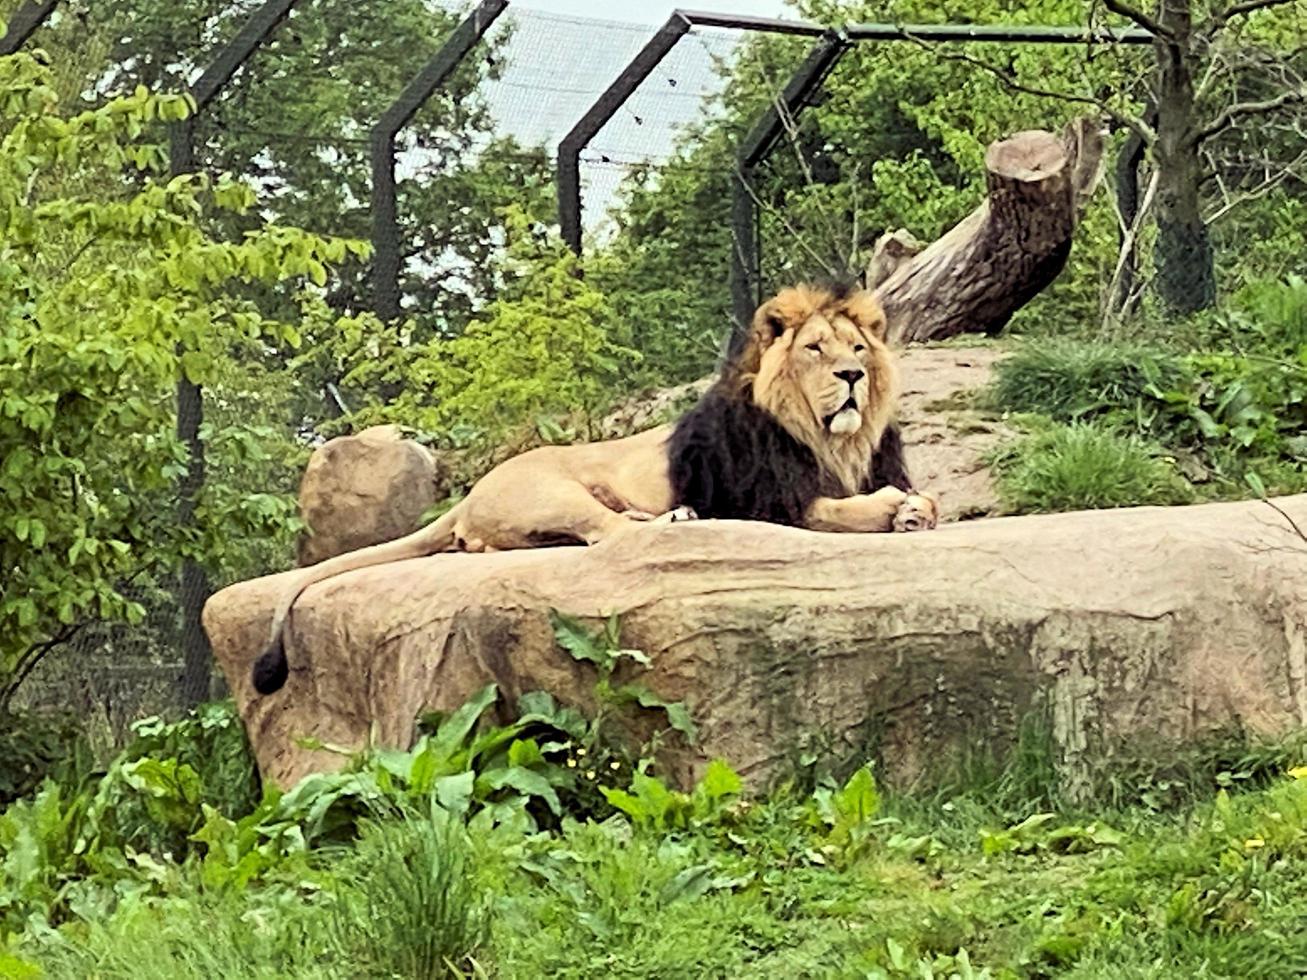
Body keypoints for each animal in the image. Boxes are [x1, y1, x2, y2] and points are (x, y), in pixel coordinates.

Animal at [247, 282, 941, 700]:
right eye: (816, 349)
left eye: (857, 349)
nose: (851, 377)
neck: (833, 443)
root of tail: (469, 494)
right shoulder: (762, 501)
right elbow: (834, 510)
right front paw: (892, 511)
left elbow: (924, 497)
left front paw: (915, 509)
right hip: (557, 489)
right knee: (607, 532)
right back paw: (675, 519)